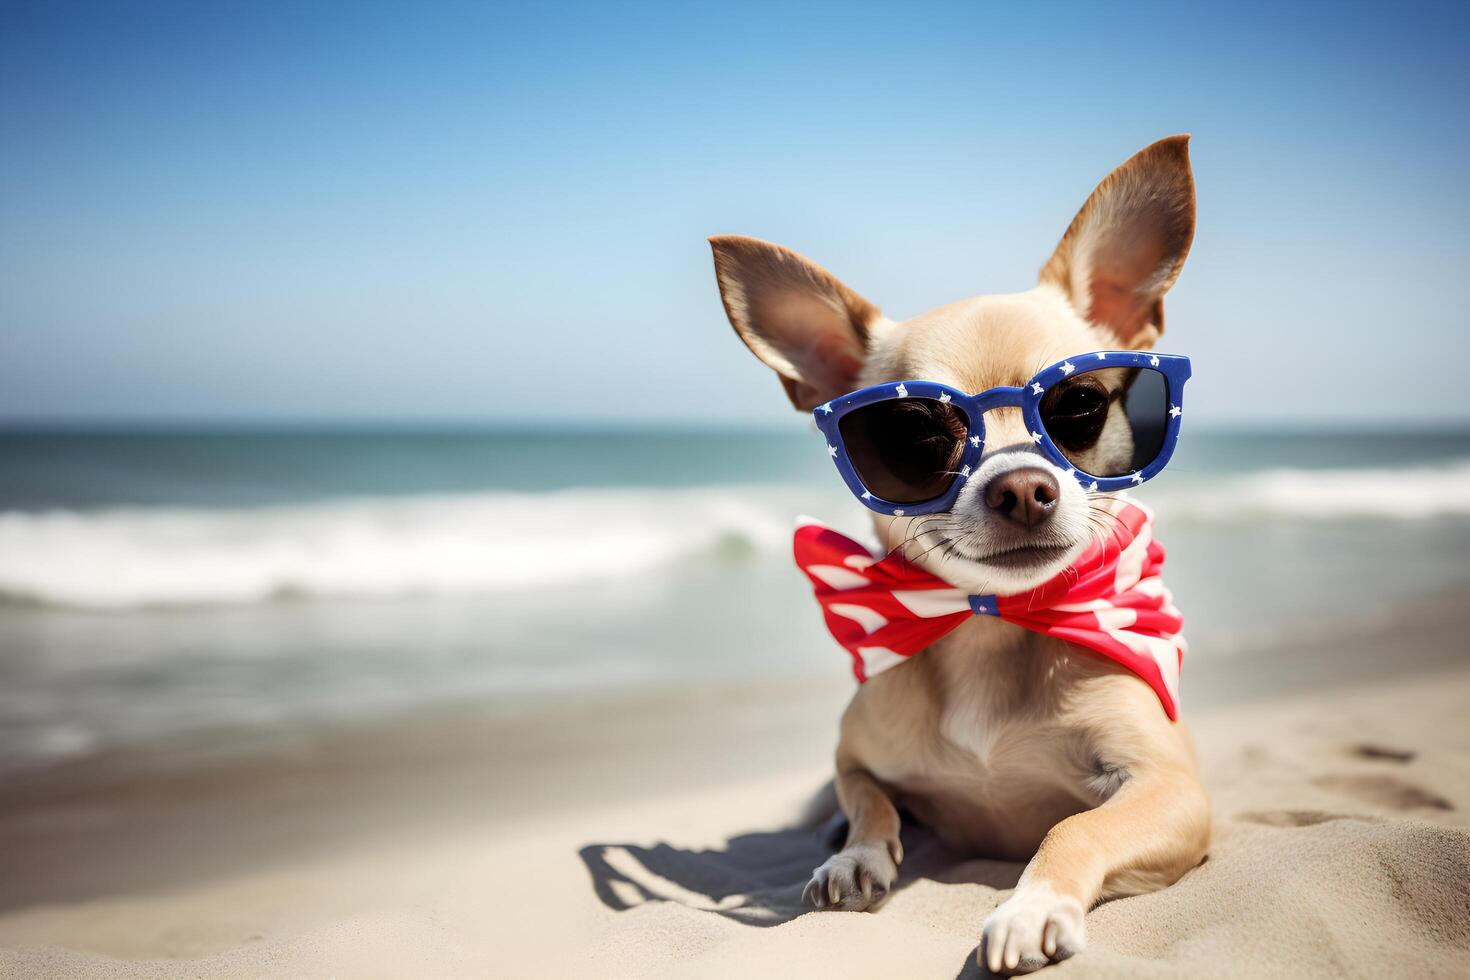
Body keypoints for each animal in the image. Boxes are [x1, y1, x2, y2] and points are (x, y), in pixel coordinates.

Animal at [711, 135, 1205, 975]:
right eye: (915, 434)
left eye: (1079, 405)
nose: (1023, 488)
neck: (985, 625)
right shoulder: (853, 756)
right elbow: (868, 797)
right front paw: (856, 854)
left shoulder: (1171, 787)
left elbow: (1075, 825)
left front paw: (1032, 905)